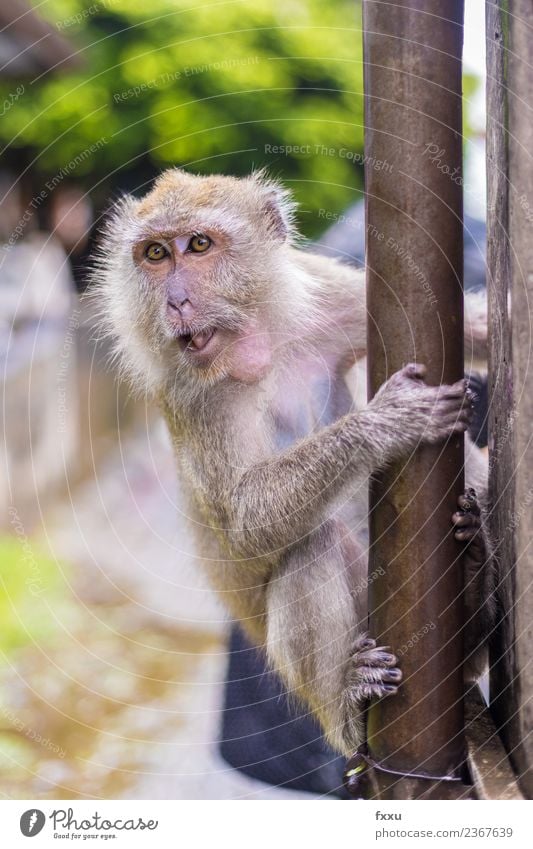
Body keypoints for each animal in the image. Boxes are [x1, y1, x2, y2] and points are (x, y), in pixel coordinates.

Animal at [92, 169, 494, 752]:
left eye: (199, 245)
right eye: (155, 254)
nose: (177, 303)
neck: (258, 348)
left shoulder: (325, 291)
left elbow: (471, 332)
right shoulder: (197, 397)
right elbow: (245, 521)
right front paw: (386, 422)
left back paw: (475, 582)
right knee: (309, 546)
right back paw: (352, 702)